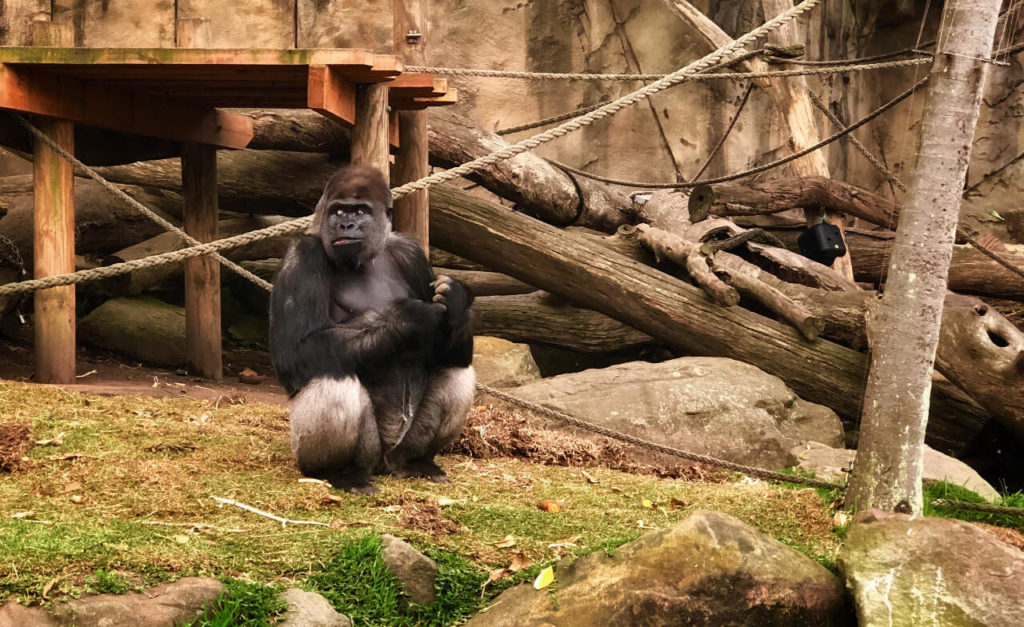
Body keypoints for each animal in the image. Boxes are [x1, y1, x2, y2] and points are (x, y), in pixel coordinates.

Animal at [268, 164, 475, 493]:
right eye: (339, 211)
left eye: (360, 211)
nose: (346, 224)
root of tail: (383, 465)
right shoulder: (300, 257)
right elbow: (297, 351)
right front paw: (409, 318)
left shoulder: (411, 251)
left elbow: (447, 349)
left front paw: (455, 303)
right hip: (353, 453)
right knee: (332, 375)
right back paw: (340, 472)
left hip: (399, 451)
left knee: (457, 367)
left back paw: (418, 462)